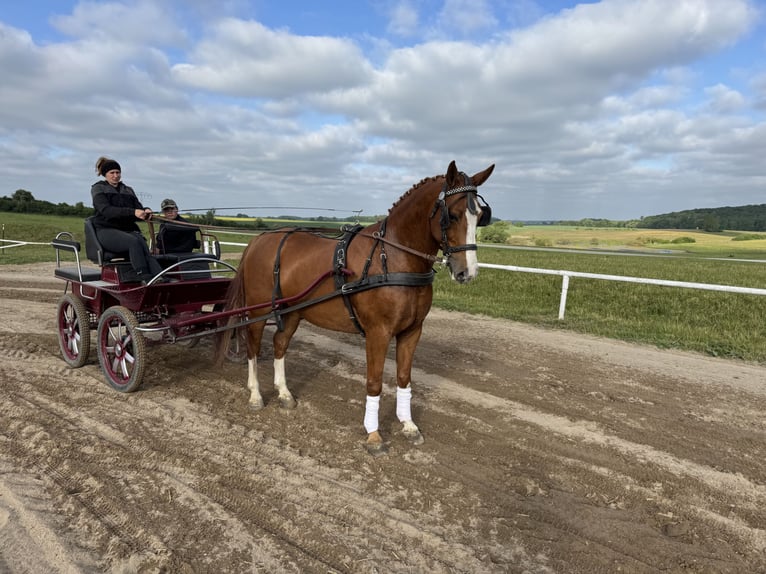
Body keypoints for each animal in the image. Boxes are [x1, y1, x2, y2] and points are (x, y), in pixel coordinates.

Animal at [215, 160, 495, 455]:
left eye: (480, 216)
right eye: (451, 215)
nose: (467, 272)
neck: (392, 258)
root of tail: (260, 239)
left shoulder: (412, 331)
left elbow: (404, 378)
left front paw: (408, 425)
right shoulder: (378, 332)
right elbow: (374, 382)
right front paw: (373, 434)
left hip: (292, 311)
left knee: (280, 344)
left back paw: (284, 393)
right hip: (258, 311)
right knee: (253, 348)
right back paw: (255, 395)